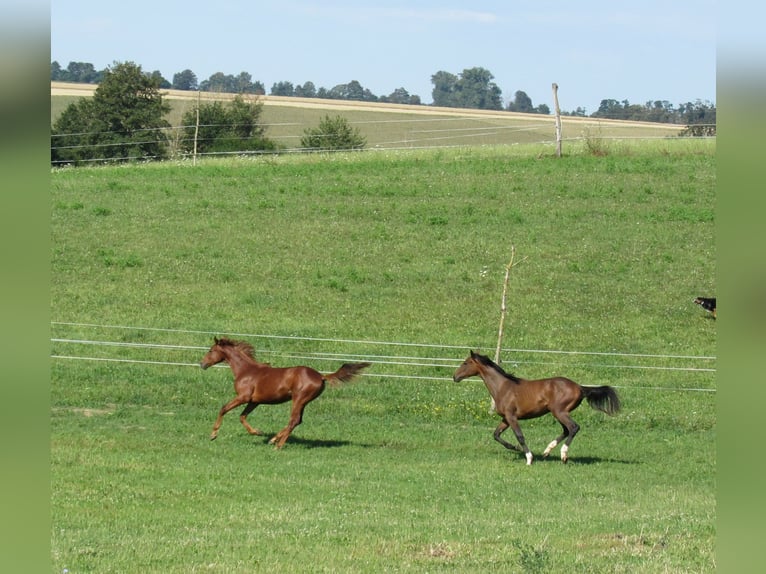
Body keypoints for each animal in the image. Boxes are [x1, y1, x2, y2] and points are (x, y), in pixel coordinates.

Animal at [199, 337, 371, 448]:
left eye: (211, 350)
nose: (202, 364)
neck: (246, 370)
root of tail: (321, 376)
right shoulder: (254, 401)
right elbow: (242, 416)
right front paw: (257, 432)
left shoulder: (243, 397)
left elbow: (223, 409)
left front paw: (213, 435)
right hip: (303, 401)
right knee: (297, 420)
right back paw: (274, 439)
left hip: (298, 399)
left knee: (293, 420)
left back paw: (278, 444)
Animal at [453, 351, 621, 465]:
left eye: (466, 363)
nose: (455, 377)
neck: (503, 387)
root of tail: (580, 387)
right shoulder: (506, 418)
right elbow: (496, 435)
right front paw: (514, 447)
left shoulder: (512, 417)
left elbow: (520, 436)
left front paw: (529, 458)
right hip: (558, 413)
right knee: (566, 430)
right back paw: (547, 451)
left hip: (559, 411)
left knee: (573, 427)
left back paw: (563, 455)